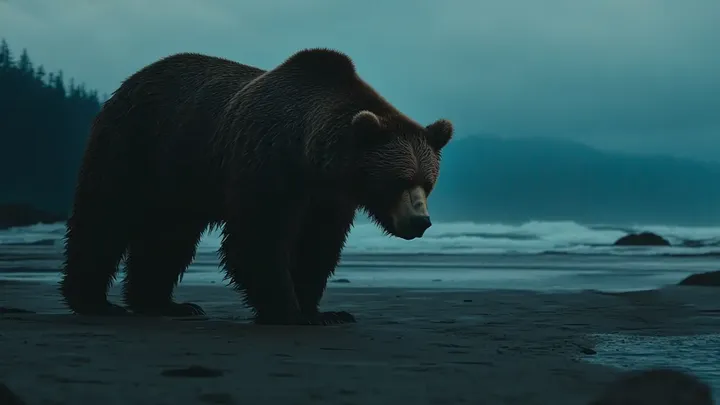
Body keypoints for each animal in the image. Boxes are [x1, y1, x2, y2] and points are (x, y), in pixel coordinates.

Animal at [59, 48, 454, 325]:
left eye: (428, 183)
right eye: (399, 180)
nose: (420, 221)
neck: (312, 159)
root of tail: (132, 79)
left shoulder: (328, 198)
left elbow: (318, 246)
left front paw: (324, 311)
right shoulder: (266, 165)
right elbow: (258, 238)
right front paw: (290, 311)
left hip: (180, 178)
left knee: (168, 236)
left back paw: (165, 303)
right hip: (135, 146)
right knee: (104, 217)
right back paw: (95, 301)